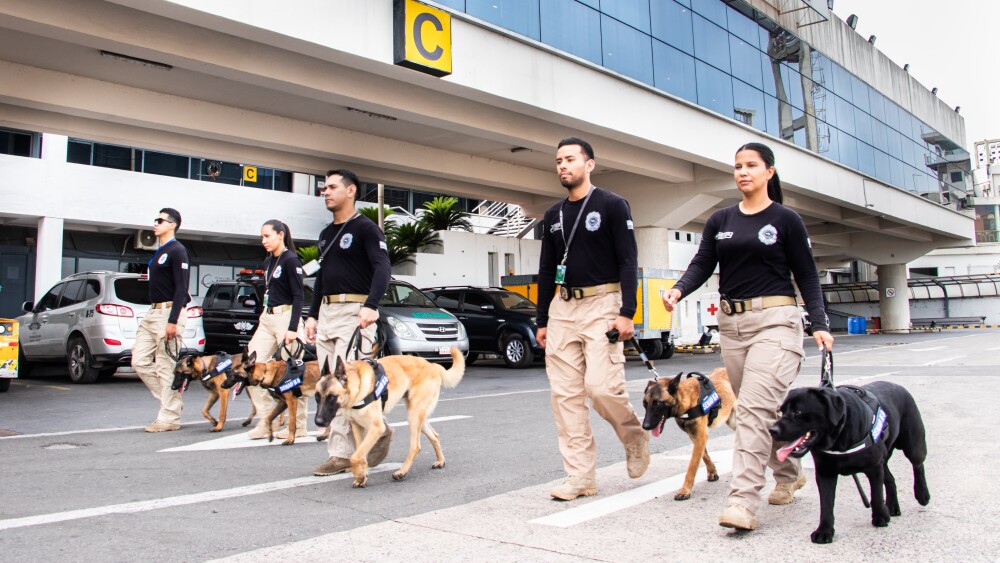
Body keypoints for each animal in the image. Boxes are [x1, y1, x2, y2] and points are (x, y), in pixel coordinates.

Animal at [314, 348, 466, 490]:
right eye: (317, 396)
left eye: (331, 397)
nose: (318, 422)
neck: (356, 386)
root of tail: (432, 365)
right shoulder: (357, 427)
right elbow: (360, 455)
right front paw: (361, 475)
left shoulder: (376, 428)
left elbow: (355, 457)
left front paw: (359, 474)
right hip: (419, 417)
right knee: (434, 436)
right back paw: (440, 460)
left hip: (414, 415)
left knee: (415, 446)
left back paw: (402, 472)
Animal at [640, 370, 736, 502]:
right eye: (645, 404)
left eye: (658, 403)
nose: (645, 426)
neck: (686, 399)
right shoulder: (695, 436)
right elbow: (704, 455)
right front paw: (712, 471)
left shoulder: (700, 436)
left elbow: (692, 466)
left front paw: (685, 490)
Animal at [772, 382, 928, 544]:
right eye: (781, 411)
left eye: (798, 411)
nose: (772, 430)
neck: (839, 436)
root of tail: (898, 385)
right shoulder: (825, 472)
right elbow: (826, 505)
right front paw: (824, 531)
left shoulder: (874, 468)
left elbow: (876, 496)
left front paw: (880, 517)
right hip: (883, 459)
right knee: (890, 478)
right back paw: (892, 506)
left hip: (913, 444)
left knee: (918, 464)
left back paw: (922, 495)